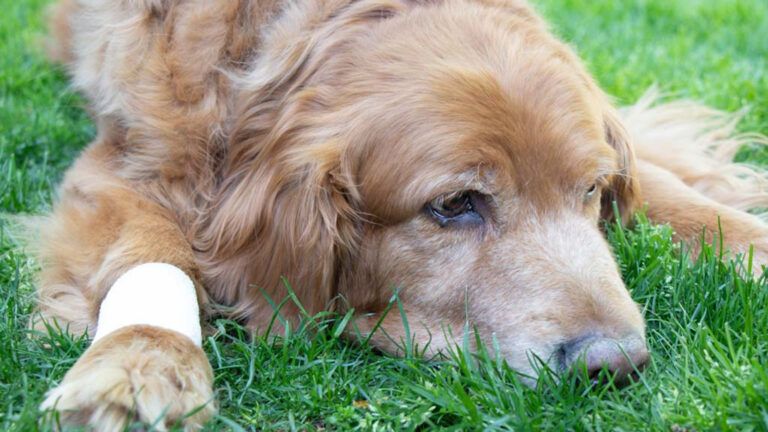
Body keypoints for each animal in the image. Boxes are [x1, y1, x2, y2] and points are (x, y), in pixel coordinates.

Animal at [33, 0, 764, 428]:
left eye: (590, 189)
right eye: (455, 205)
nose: (616, 363)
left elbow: (676, 192)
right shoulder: (123, 160)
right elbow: (152, 250)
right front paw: (141, 361)